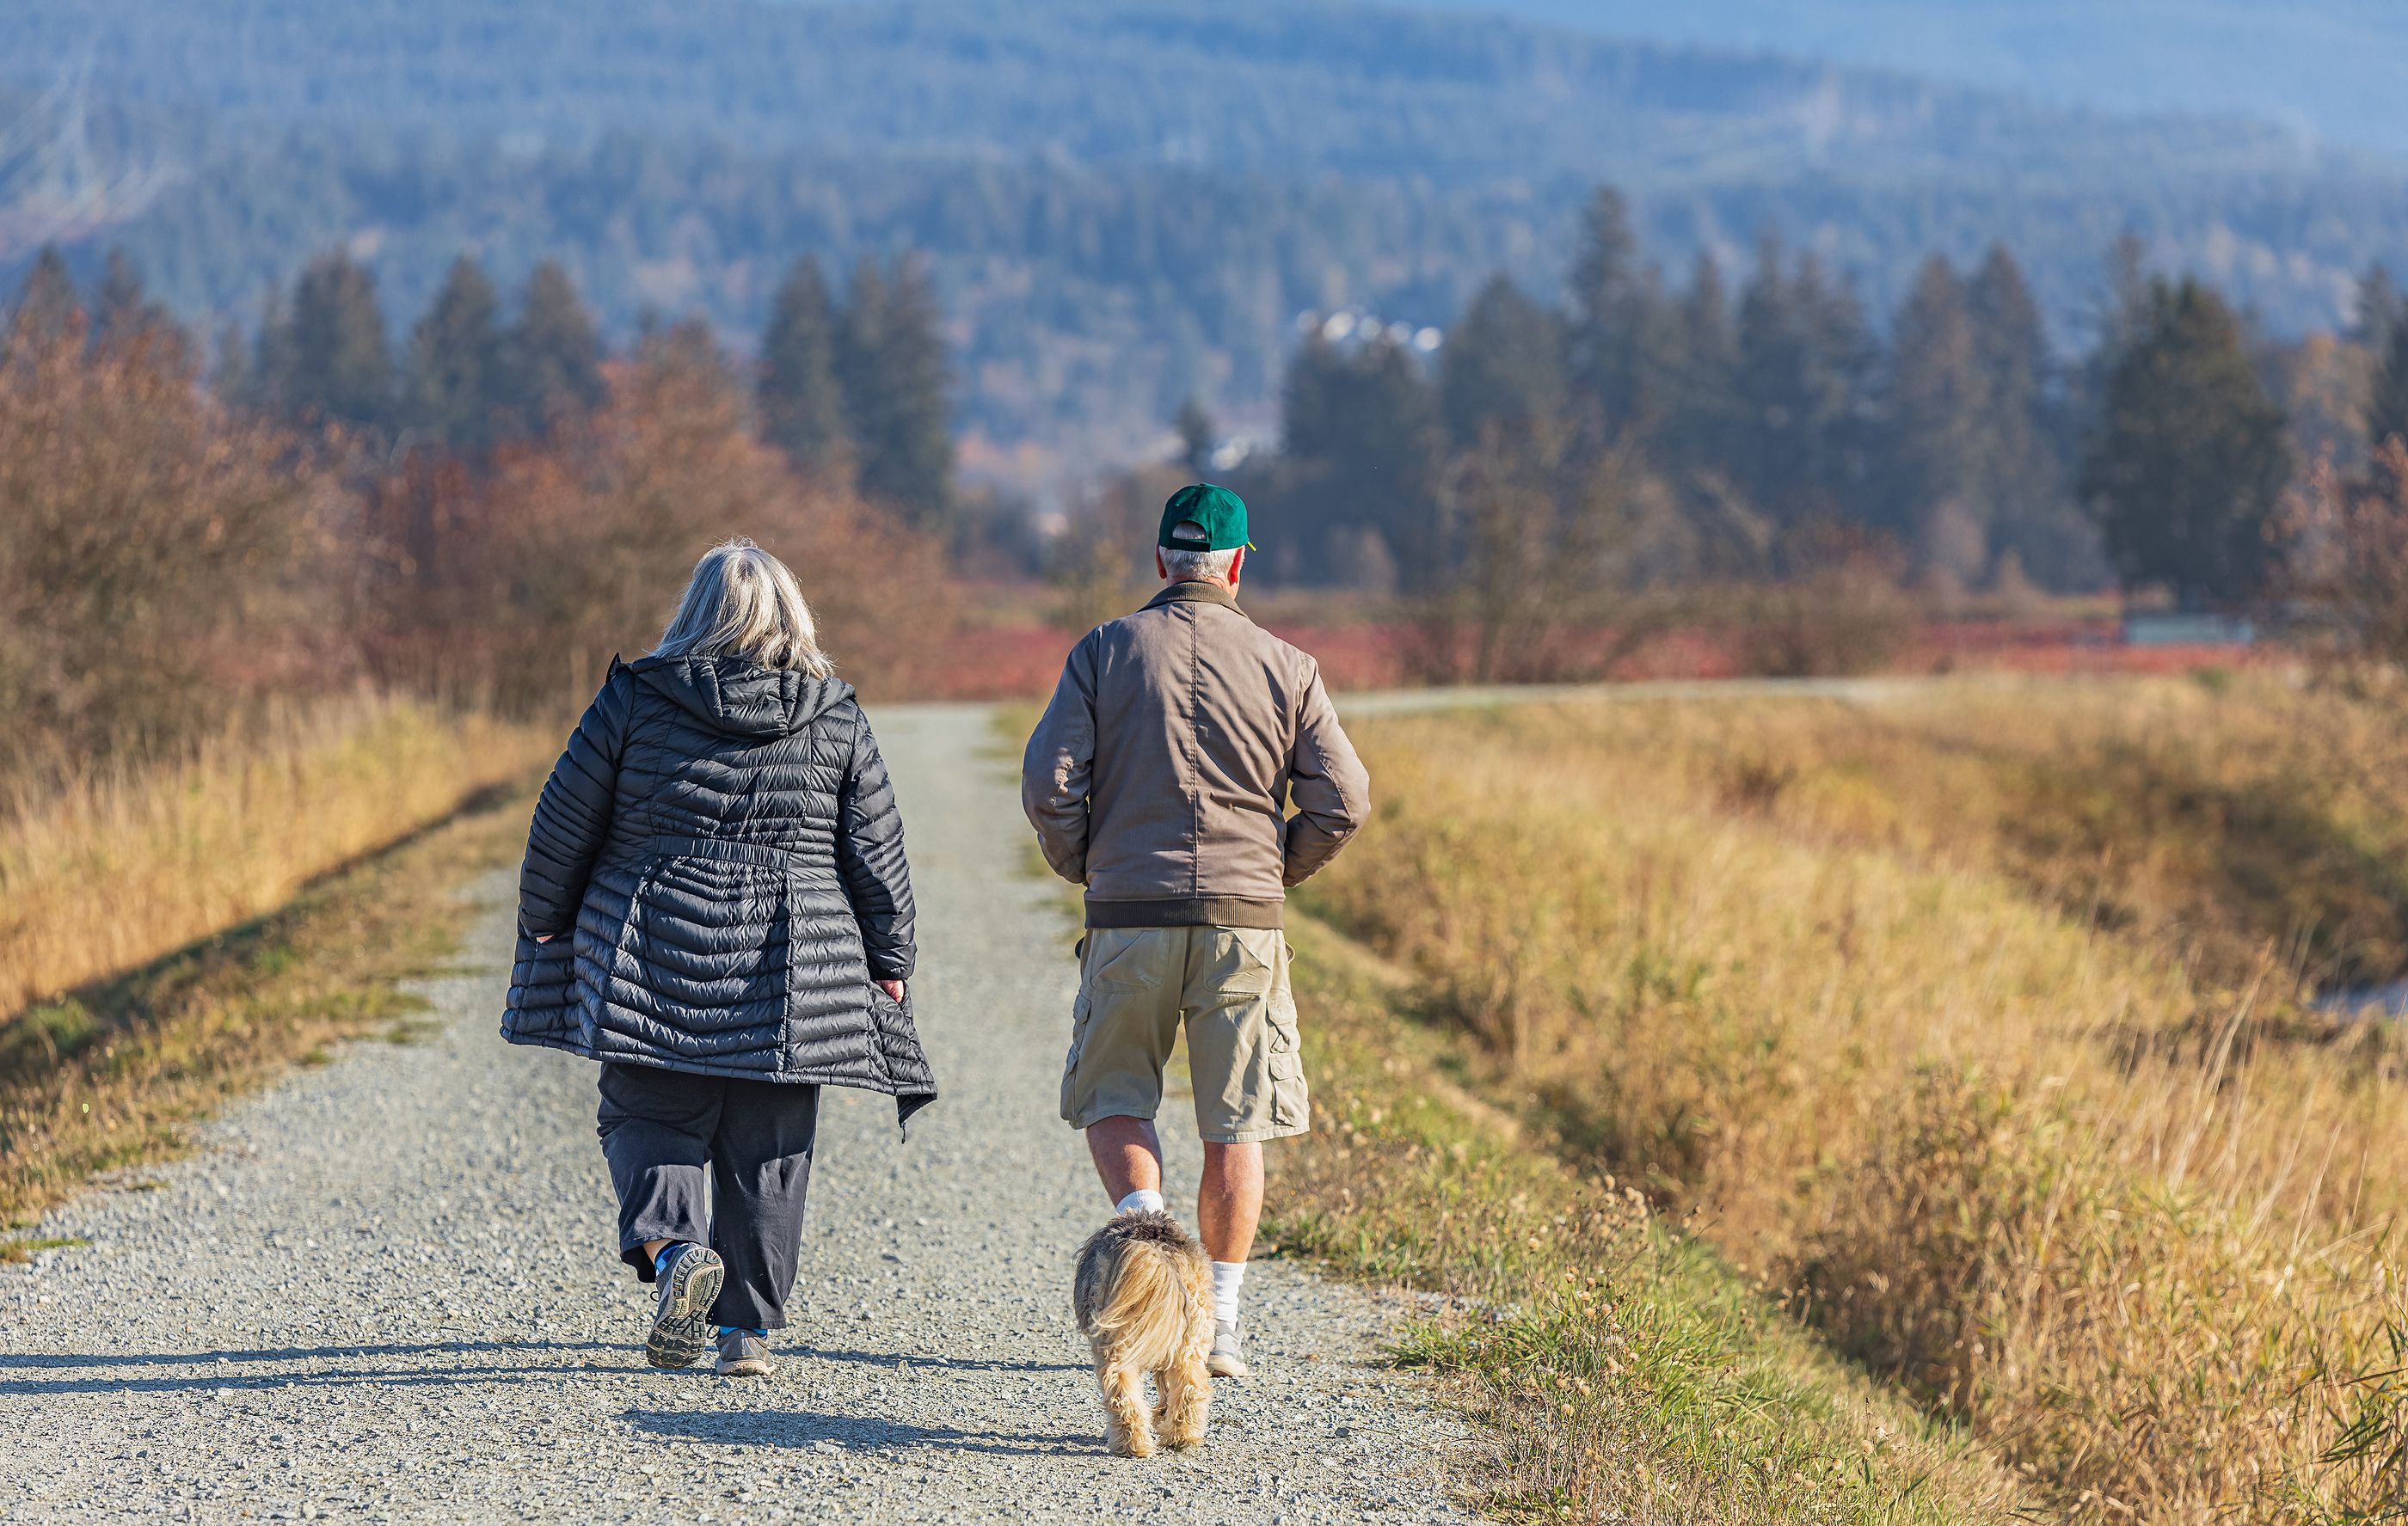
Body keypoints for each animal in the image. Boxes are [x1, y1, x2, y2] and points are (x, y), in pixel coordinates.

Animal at [1078, 1213, 1213, 1454]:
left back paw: (1133, 1443)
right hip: (1189, 1340)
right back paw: (1177, 1438)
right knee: (1189, 1386)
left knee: (1120, 1391)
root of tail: (1154, 1247)